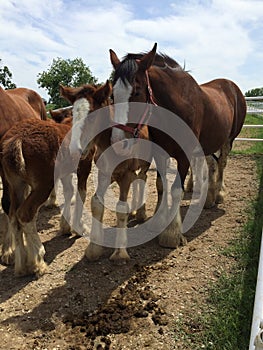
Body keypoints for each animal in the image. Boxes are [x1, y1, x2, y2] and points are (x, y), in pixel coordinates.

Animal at [0, 82, 110, 276]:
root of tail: (16, 139)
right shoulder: (84, 164)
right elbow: (80, 193)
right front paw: (78, 227)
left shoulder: (64, 171)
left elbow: (68, 192)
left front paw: (65, 226)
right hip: (42, 184)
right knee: (25, 213)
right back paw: (37, 259)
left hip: (16, 183)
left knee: (13, 214)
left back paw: (21, 264)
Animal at [62, 80, 153, 262]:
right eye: (72, 115)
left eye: (92, 115)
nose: (74, 150)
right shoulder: (104, 173)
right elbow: (96, 202)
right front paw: (93, 248)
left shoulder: (126, 174)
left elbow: (121, 207)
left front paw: (120, 253)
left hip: (145, 162)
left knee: (143, 178)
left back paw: (140, 212)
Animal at [109, 43, 248, 250]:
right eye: (112, 95)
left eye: (137, 92)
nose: (118, 143)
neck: (176, 107)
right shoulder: (160, 153)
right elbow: (161, 185)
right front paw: (158, 220)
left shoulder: (183, 156)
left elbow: (175, 190)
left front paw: (171, 234)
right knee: (211, 164)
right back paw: (208, 198)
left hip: (228, 140)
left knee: (222, 163)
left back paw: (219, 193)